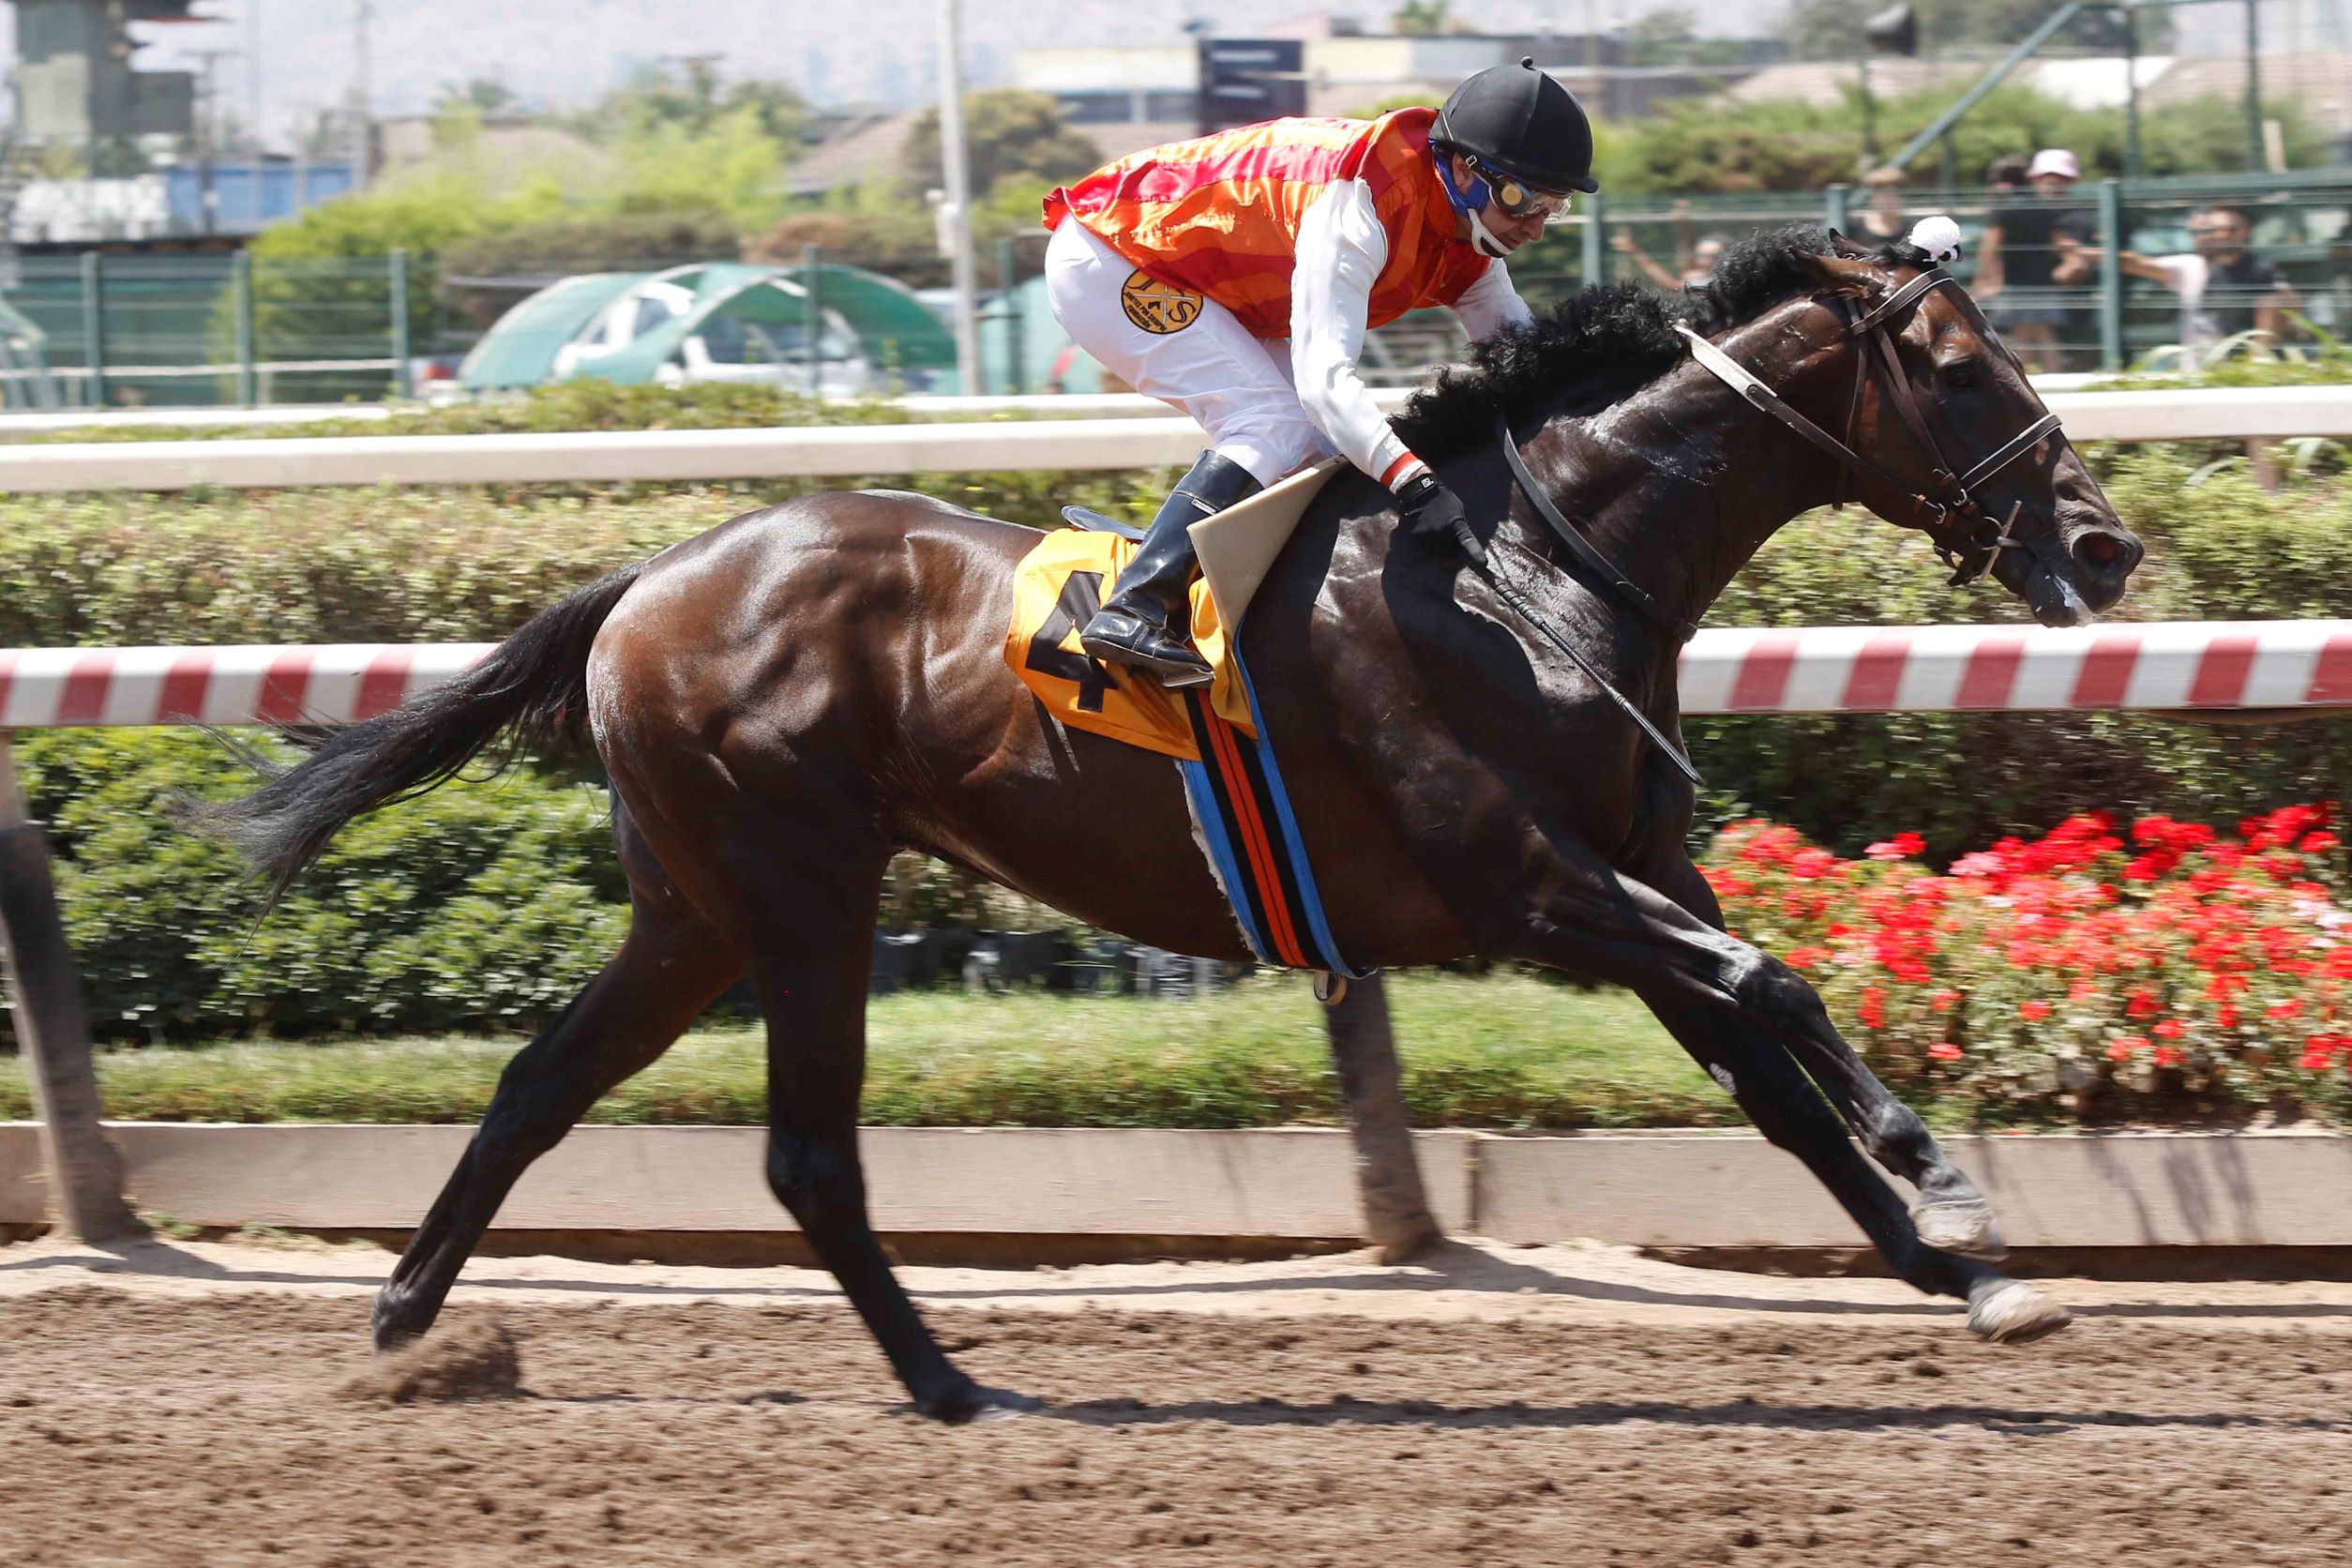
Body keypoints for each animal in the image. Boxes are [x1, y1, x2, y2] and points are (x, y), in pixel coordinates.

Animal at [199, 227, 2143, 1421]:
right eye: (1956, 368)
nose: (2103, 545)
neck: (1527, 569)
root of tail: (653, 578)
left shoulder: (1632, 871)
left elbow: (1766, 1063)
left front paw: (1961, 1273)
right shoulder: (1529, 887)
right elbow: (1785, 997)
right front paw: (1947, 1183)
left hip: (693, 911)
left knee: (539, 1083)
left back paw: (404, 1326)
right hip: (799, 891)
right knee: (807, 1154)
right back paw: (950, 1384)